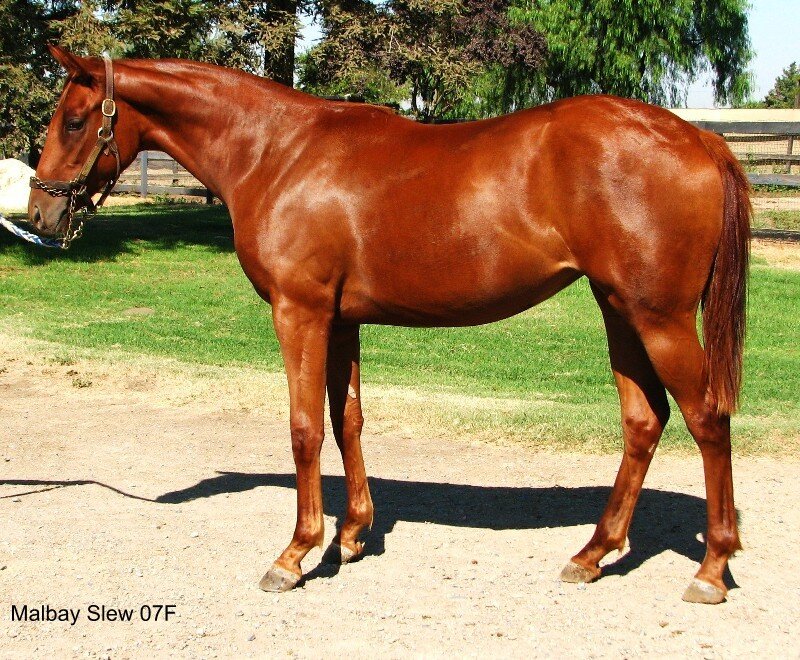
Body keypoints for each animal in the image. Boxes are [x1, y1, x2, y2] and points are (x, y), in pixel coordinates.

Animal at [29, 46, 750, 604]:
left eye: (74, 120)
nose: (40, 215)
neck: (277, 151)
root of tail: (701, 138)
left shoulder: (300, 312)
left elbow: (304, 429)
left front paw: (296, 553)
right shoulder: (341, 320)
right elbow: (346, 418)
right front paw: (351, 536)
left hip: (657, 317)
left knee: (707, 419)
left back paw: (711, 569)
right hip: (619, 309)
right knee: (644, 421)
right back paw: (593, 553)